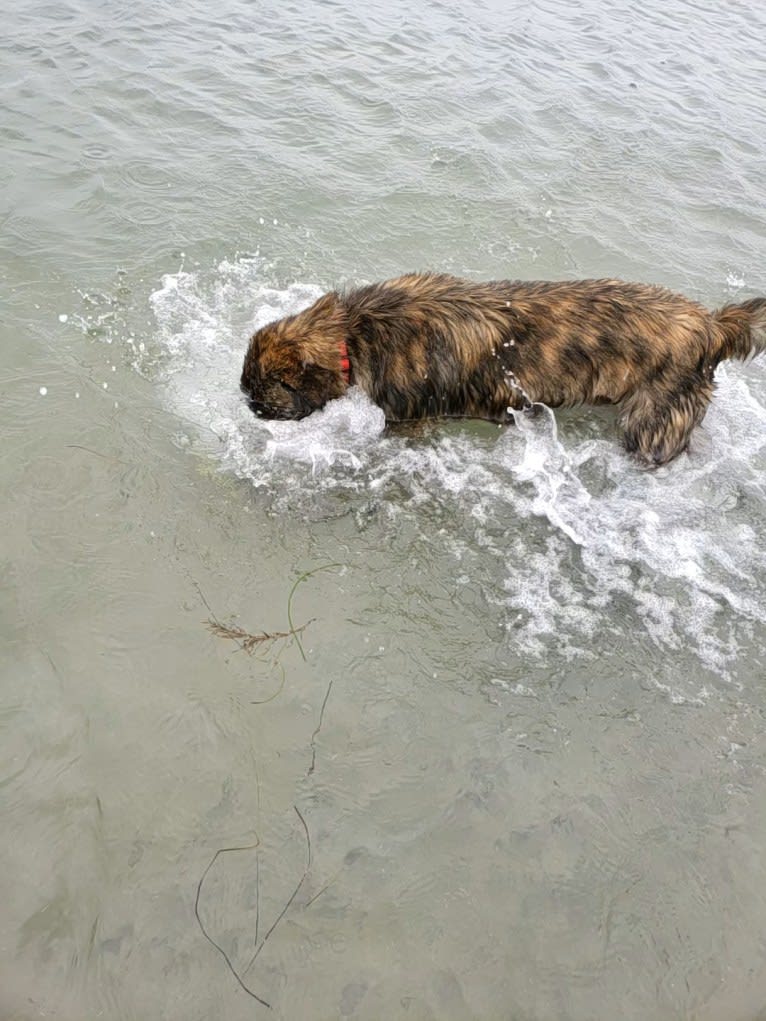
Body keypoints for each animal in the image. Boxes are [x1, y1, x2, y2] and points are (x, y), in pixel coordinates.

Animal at [240, 271, 766, 463]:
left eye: (269, 385)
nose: (246, 402)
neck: (355, 331)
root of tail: (713, 325)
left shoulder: (406, 413)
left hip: (655, 416)